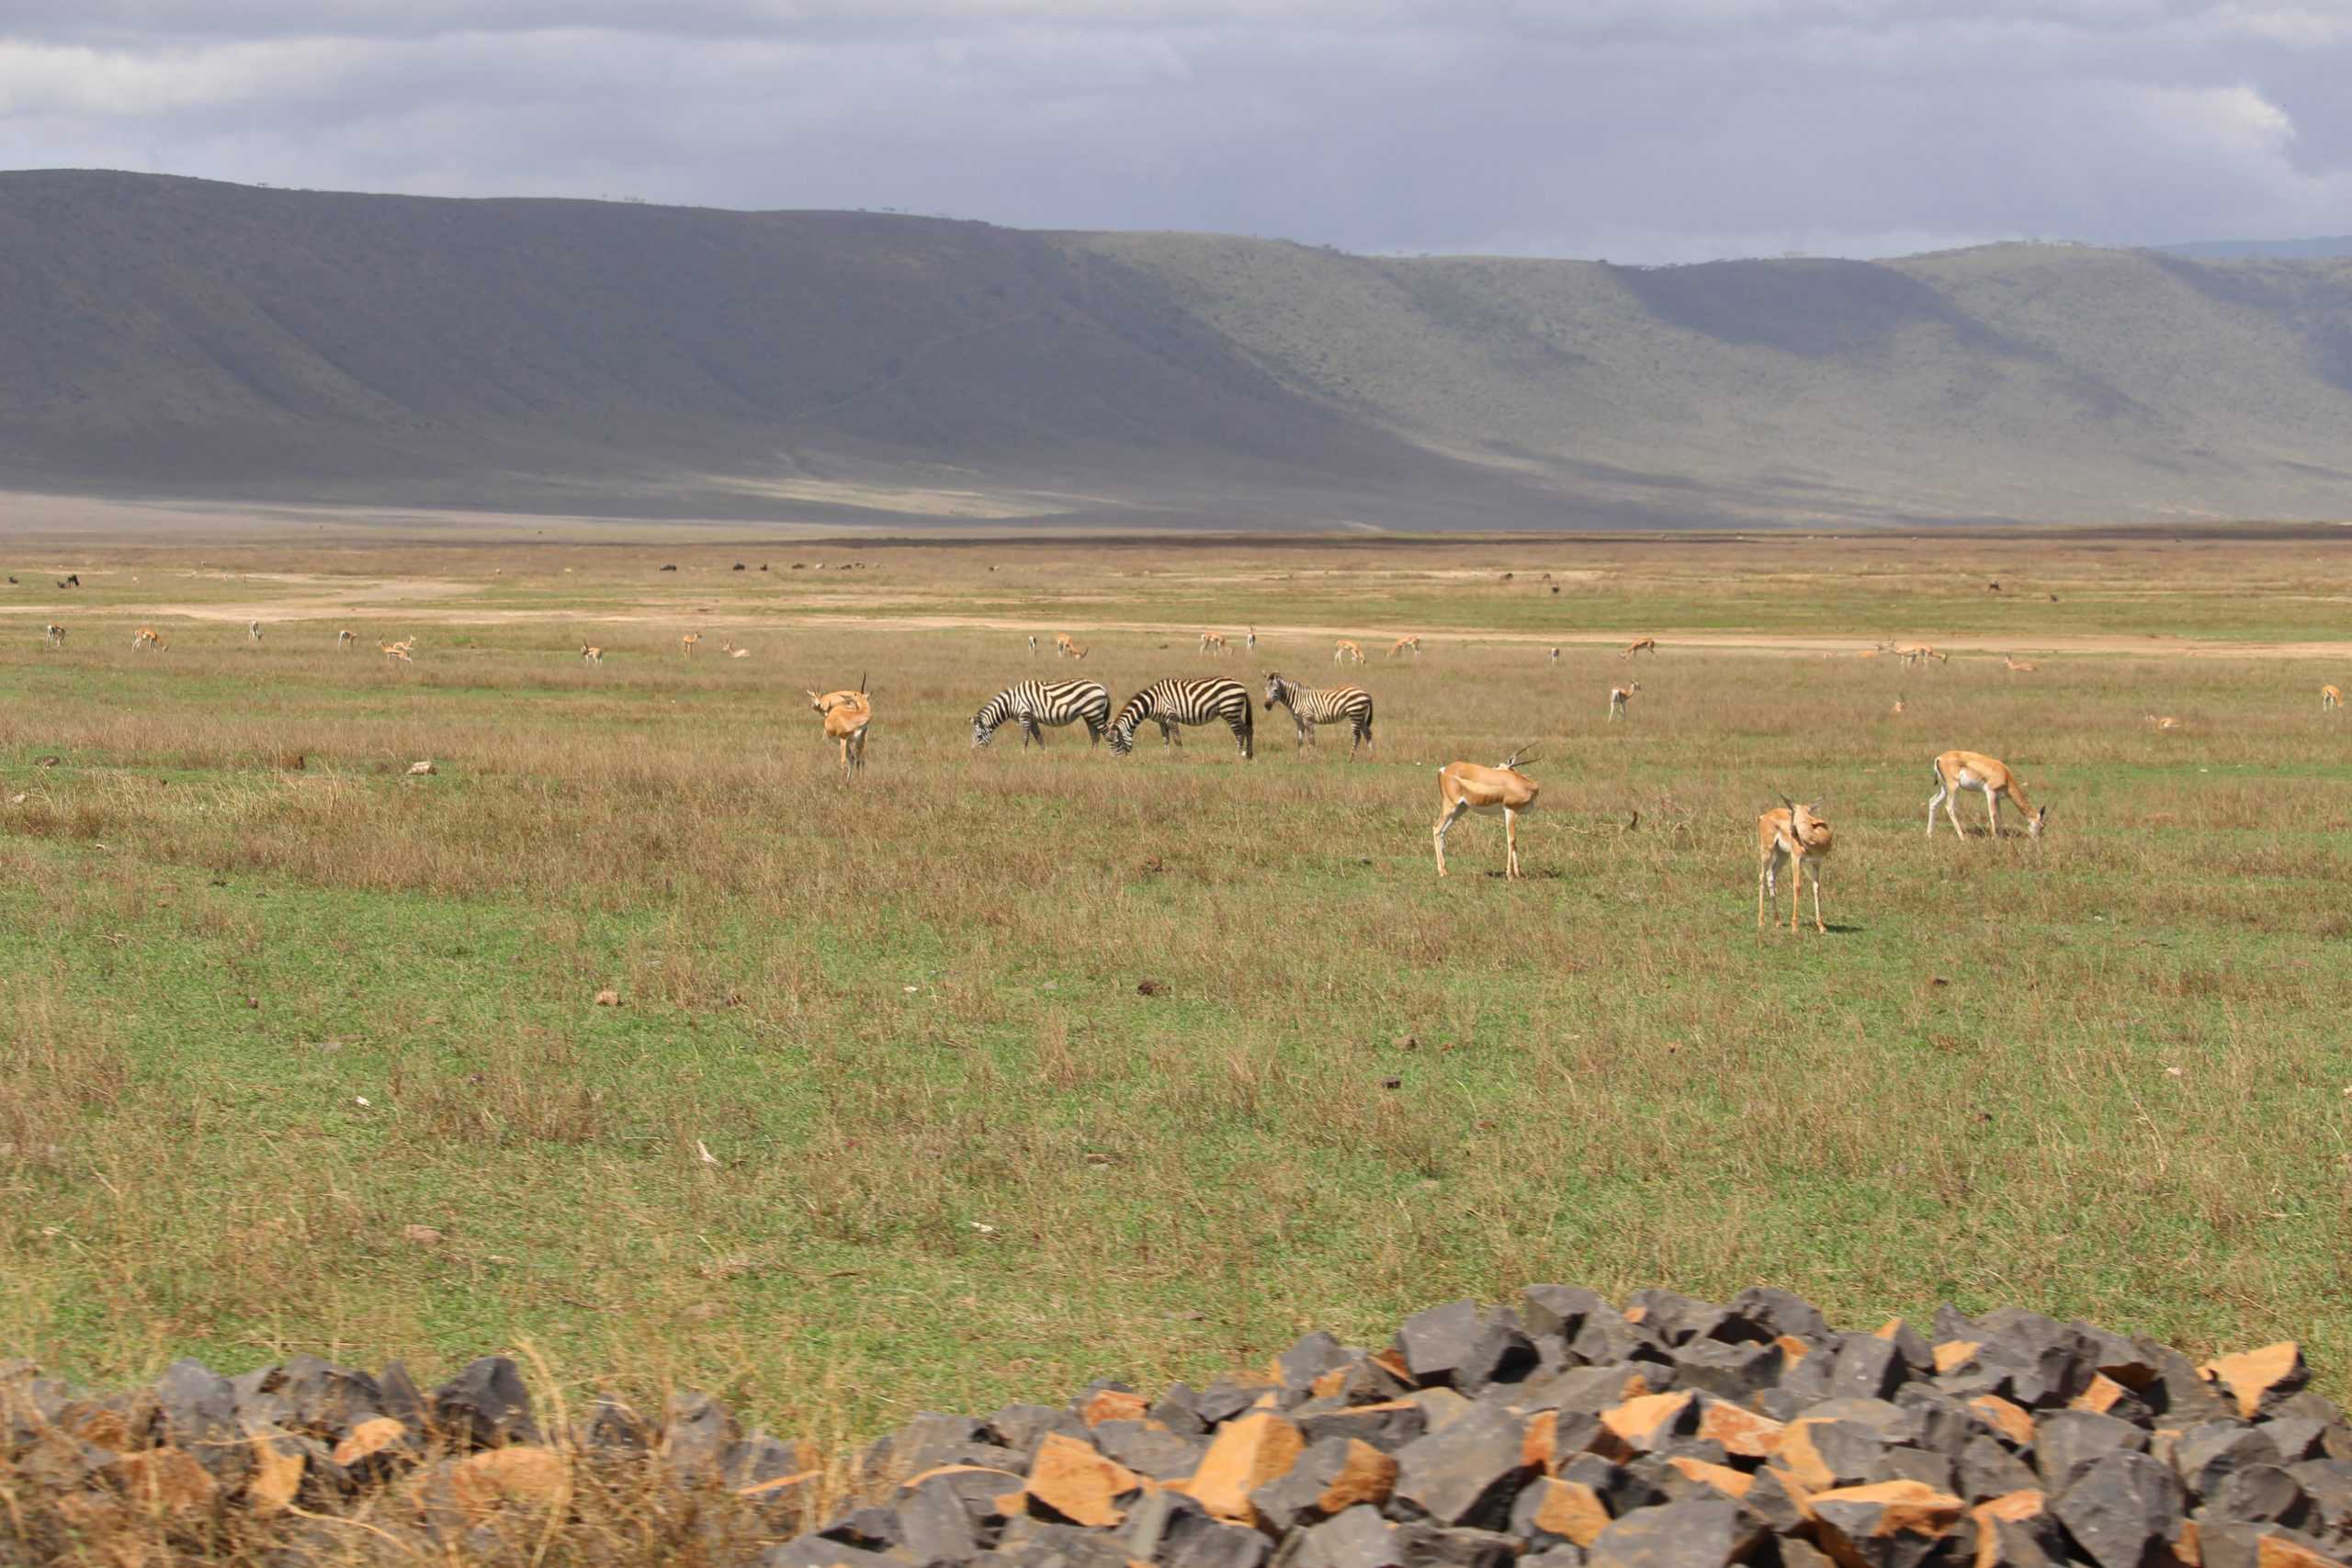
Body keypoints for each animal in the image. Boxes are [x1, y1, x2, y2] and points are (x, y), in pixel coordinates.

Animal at [1434, 746, 1540, 879]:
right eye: (1497, 765)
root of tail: (1443, 770)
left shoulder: (1513, 813)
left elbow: (1514, 842)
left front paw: (1518, 874)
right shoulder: (1510, 810)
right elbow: (1511, 840)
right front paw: (1510, 875)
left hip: (1460, 809)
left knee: (1442, 832)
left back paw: (1445, 871)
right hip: (1450, 806)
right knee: (1436, 828)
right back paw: (1441, 872)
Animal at [1757, 797, 1833, 934]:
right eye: (1791, 812)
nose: (1791, 831)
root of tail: (1764, 816)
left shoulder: (1817, 863)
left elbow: (1817, 888)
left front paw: (1821, 926)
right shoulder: (1796, 859)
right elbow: (1797, 887)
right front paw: (1794, 926)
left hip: (1782, 854)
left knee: (1771, 875)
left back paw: (1778, 922)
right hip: (1767, 851)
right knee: (1761, 876)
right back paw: (1761, 922)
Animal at [1927, 750, 2049, 841]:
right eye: (2042, 826)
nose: (2037, 839)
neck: (2005, 775)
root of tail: (1940, 758)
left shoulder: (1998, 797)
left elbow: (2000, 816)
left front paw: (2002, 837)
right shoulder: (1990, 792)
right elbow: (1993, 814)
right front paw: (1994, 838)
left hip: (1945, 788)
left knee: (1932, 802)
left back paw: (1929, 835)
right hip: (1953, 787)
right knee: (1949, 807)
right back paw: (1962, 837)